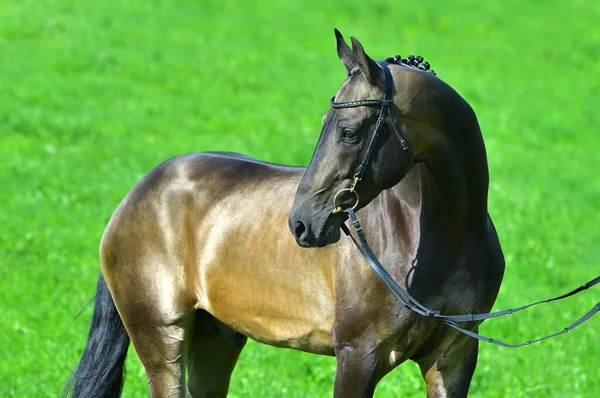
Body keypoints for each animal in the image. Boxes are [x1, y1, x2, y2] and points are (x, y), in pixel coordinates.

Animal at [65, 29, 504, 396]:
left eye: (348, 131)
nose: (302, 222)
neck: (436, 238)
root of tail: (135, 195)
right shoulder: (358, 356)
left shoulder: (453, 358)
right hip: (161, 339)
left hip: (215, 338)